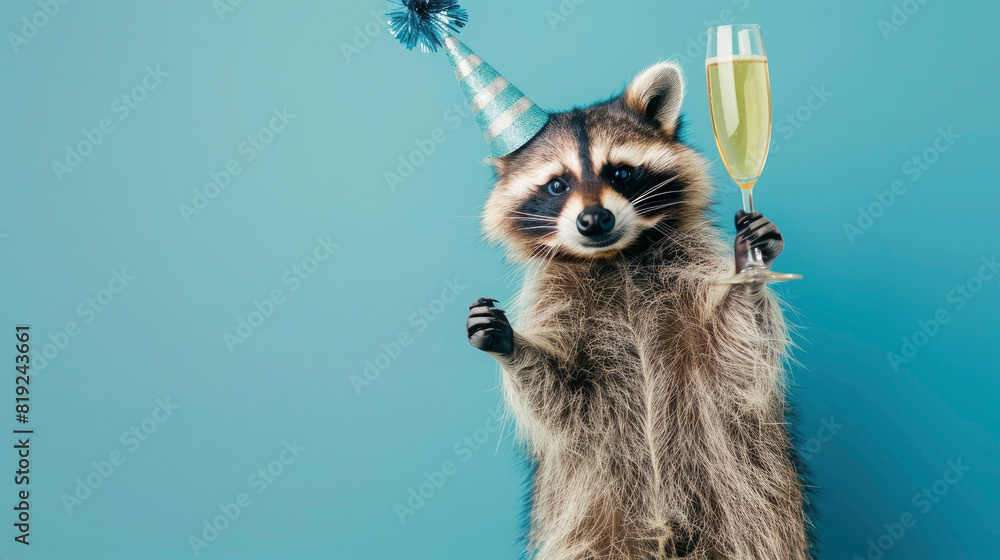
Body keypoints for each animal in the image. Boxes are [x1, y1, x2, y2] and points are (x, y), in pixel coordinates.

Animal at [465, 62, 812, 560]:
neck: (618, 259)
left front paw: (747, 273)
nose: (594, 220)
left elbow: (731, 352)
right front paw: (508, 344)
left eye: (621, 172)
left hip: (749, 502)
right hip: (591, 518)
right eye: (557, 184)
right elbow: (565, 400)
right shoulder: (562, 308)